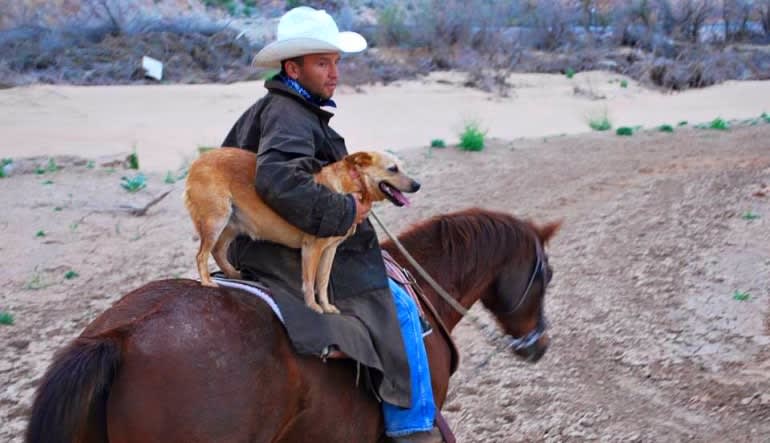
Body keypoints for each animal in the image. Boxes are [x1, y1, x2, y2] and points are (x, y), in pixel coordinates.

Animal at [183, 147, 420, 314]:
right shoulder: (311, 249)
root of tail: (197, 162)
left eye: (401, 167)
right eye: (393, 169)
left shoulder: (329, 251)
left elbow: (322, 282)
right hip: (216, 221)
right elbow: (309, 281)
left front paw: (326, 307)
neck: (349, 185)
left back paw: (233, 274)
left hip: (232, 225)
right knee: (201, 255)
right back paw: (207, 282)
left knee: (217, 252)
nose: (417, 185)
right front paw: (314, 307)